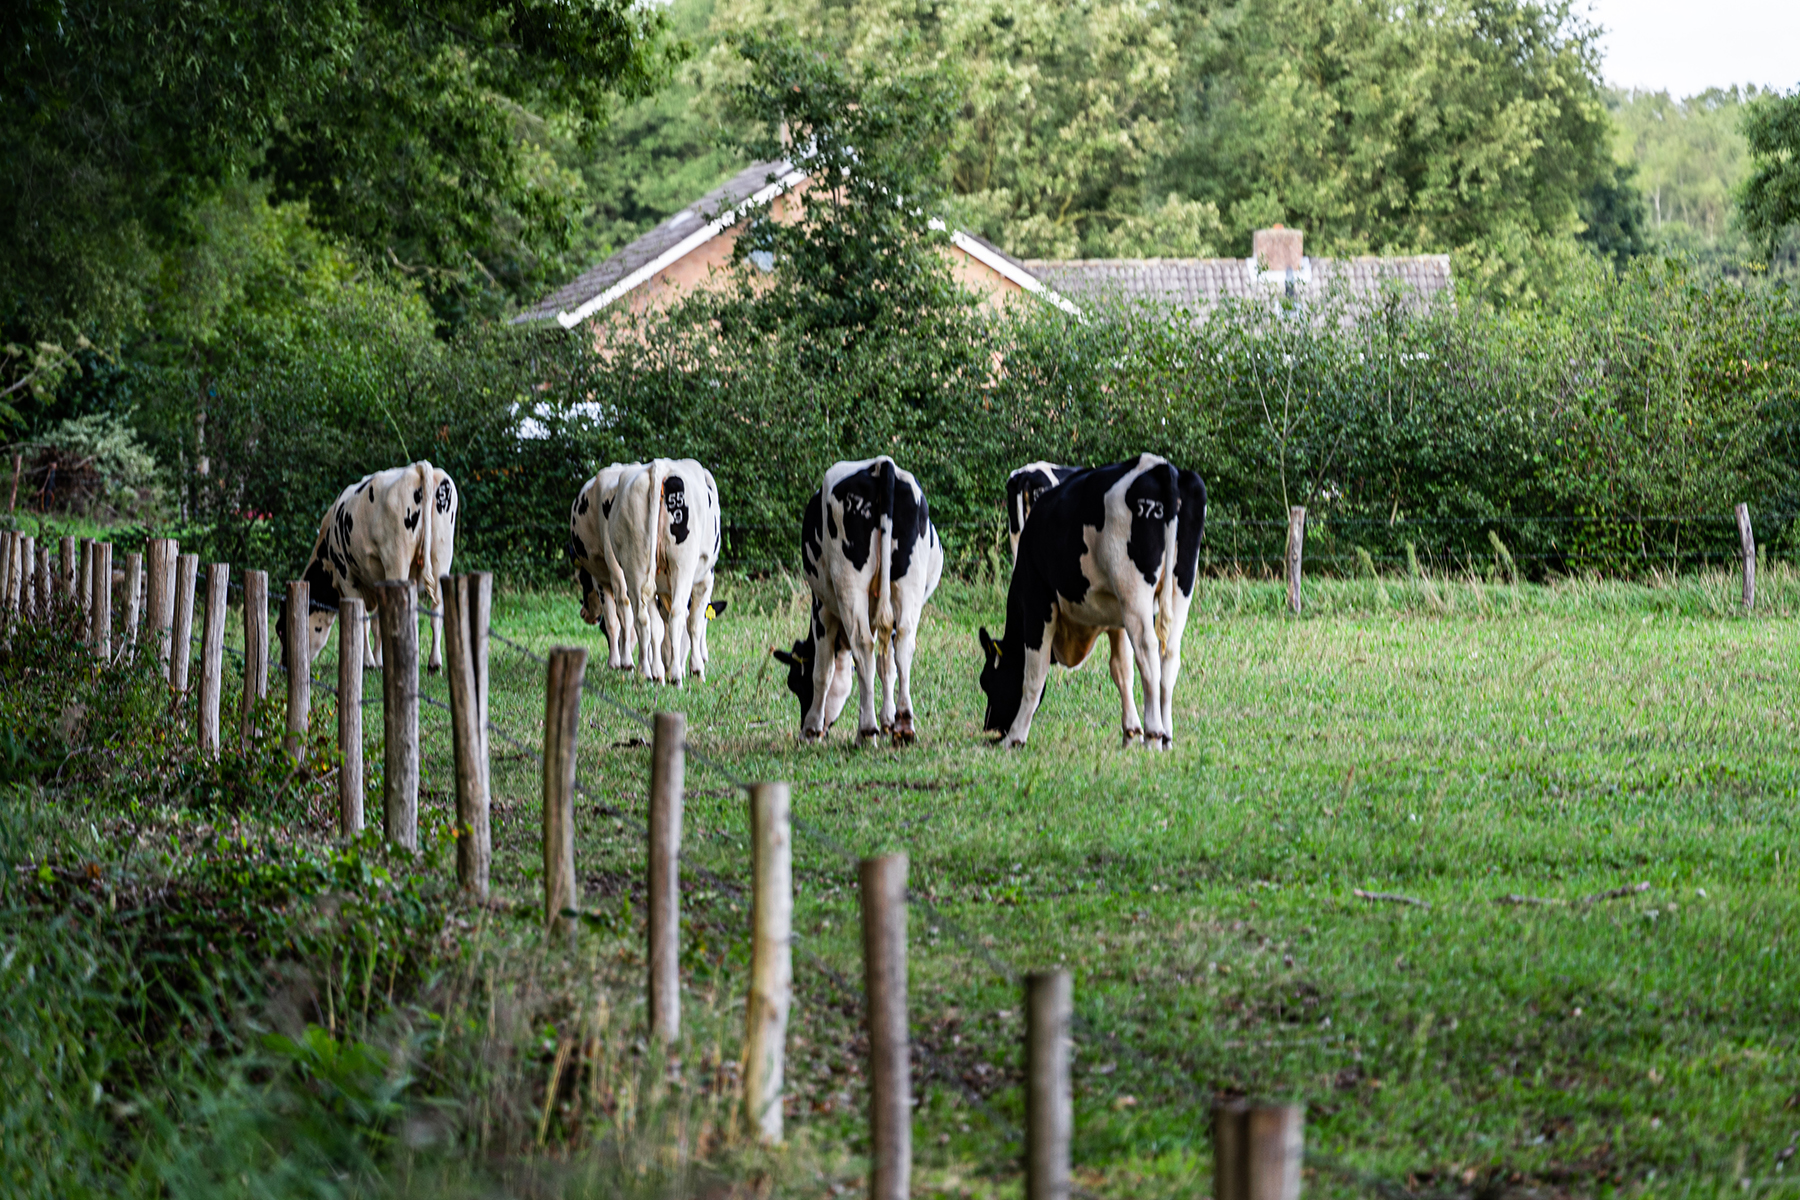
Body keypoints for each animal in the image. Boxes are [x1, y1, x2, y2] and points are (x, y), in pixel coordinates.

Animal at [279, 460, 457, 672]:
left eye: (280, 629)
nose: (283, 665)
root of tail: (418, 468)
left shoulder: (346, 576)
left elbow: (361, 621)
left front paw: (369, 662)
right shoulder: (376, 580)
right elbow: (377, 624)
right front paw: (379, 662)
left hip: (397, 562)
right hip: (442, 558)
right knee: (437, 612)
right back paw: (434, 663)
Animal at [601, 460, 720, 683]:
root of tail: (660, 466)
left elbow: (658, 627)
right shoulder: (705, 580)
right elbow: (694, 623)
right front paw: (696, 669)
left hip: (633, 564)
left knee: (641, 618)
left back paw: (648, 672)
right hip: (683, 563)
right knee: (677, 615)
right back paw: (675, 676)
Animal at [770, 456, 943, 741]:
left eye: (794, 683)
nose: (803, 725)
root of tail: (881, 464)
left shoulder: (822, 609)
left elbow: (823, 670)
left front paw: (811, 729)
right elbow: (887, 666)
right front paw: (889, 721)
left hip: (849, 584)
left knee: (862, 646)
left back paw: (866, 730)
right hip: (908, 586)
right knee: (904, 644)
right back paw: (904, 725)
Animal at [979, 453, 1202, 744]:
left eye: (986, 681)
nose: (990, 728)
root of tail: (1158, 465)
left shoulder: (1038, 602)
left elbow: (1034, 674)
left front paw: (1015, 738)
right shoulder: (1117, 618)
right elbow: (1121, 670)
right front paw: (1131, 731)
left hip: (1134, 592)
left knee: (1148, 650)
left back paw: (1154, 733)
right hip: (1179, 586)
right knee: (1170, 654)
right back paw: (1166, 737)